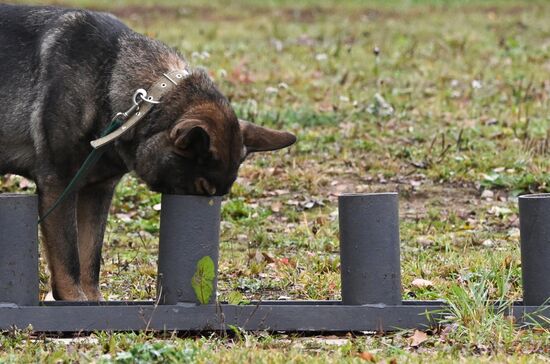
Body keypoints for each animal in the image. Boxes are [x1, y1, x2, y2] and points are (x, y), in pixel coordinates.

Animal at [0, 4, 298, 302]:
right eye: (202, 189)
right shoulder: (59, 185)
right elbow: (69, 260)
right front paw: (74, 301)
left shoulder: (96, 192)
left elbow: (90, 260)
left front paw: (92, 303)